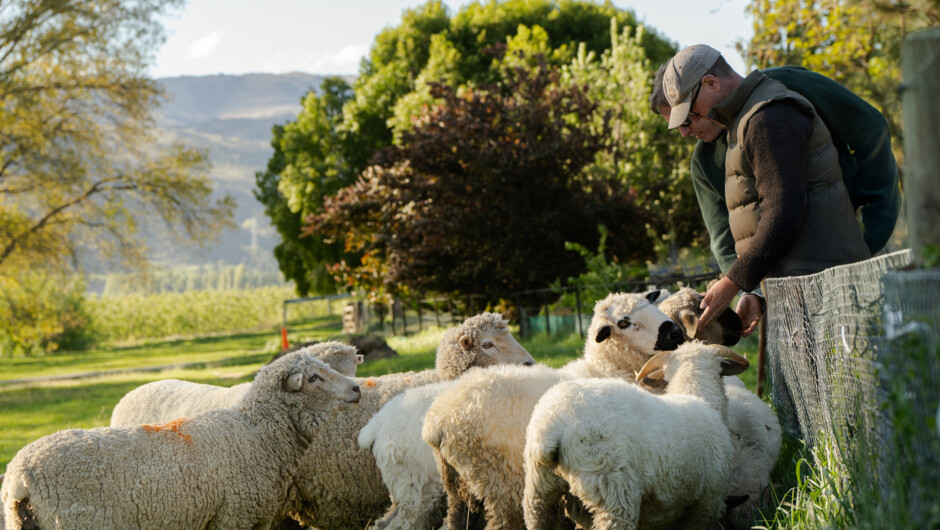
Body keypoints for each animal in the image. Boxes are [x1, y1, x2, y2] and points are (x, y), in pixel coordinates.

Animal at [1, 349, 361, 530]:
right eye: (313, 378)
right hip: (76, 523)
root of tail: (18, 474)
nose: (357, 389)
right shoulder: (232, 516)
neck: (256, 434)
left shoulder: (255, 519)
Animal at [422, 291, 684, 530]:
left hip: (457, 485)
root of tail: (437, 422)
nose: (676, 333)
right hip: (500, 483)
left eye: (649, 303)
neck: (603, 369)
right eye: (623, 322)